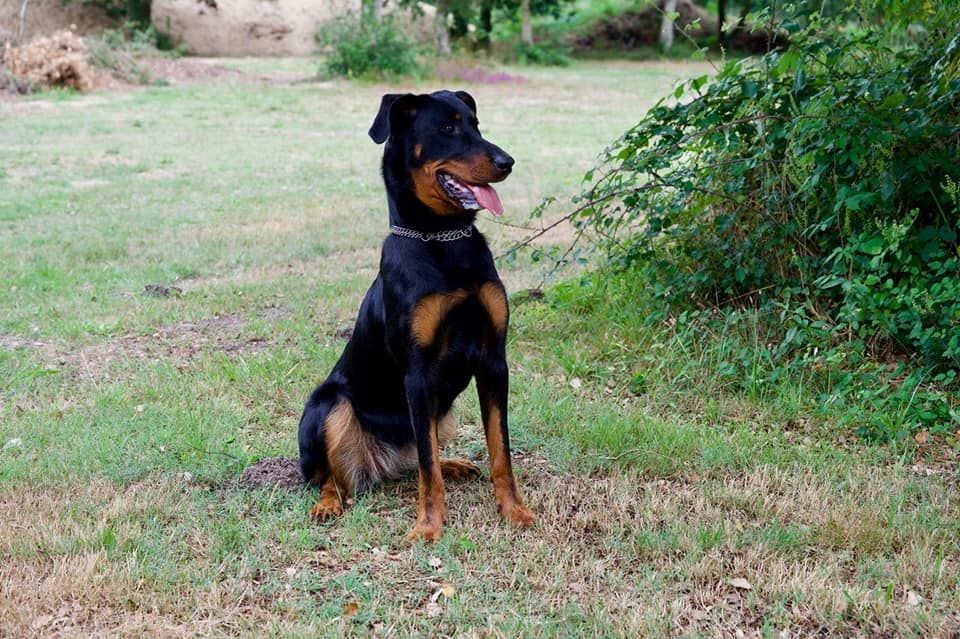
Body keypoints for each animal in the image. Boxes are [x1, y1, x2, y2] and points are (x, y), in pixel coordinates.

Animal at [297, 90, 534, 542]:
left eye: (476, 124)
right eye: (447, 128)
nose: (508, 162)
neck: (443, 242)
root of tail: (378, 462)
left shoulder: (494, 360)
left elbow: (500, 449)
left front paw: (514, 510)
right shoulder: (419, 373)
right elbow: (427, 466)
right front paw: (428, 525)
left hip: (442, 411)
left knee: (417, 458)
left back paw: (455, 464)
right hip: (328, 404)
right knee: (330, 477)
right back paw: (328, 504)